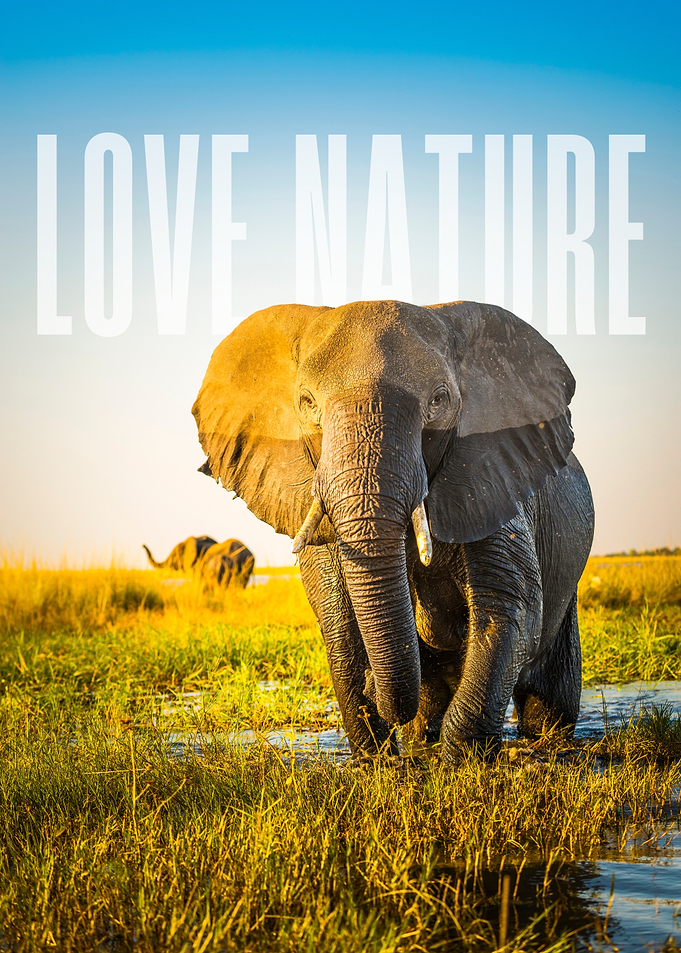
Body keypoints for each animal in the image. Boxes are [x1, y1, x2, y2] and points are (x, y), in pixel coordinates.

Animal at [192, 300, 594, 760]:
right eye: (306, 402)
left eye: (439, 399)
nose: (375, 688)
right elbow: (338, 620)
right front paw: (378, 760)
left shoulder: (489, 474)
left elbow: (510, 608)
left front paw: (462, 763)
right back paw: (421, 739)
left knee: (547, 682)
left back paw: (546, 742)